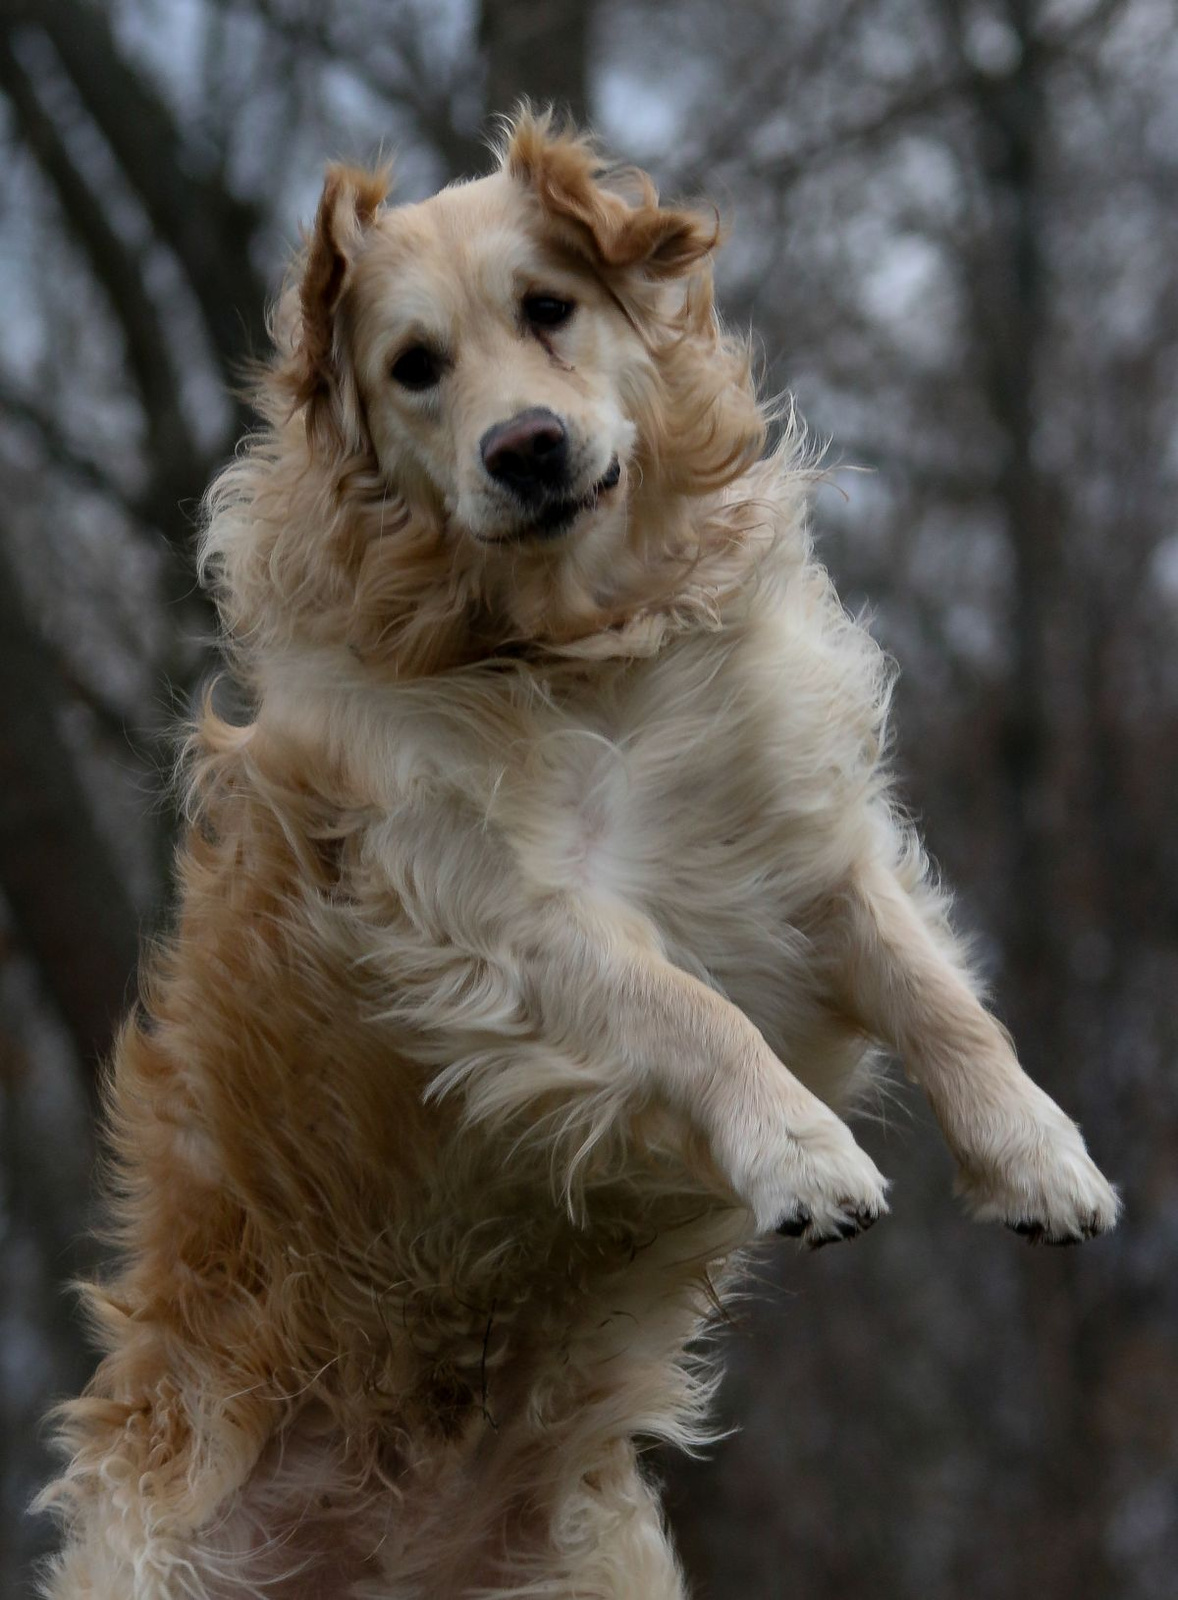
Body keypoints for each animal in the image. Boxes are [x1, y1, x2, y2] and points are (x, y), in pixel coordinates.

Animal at [39, 112, 1120, 1600]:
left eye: (547, 308)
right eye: (413, 367)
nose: (526, 448)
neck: (579, 648)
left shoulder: (796, 846)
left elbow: (936, 994)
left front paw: (1036, 1154)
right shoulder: (495, 920)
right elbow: (690, 1010)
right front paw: (799, 1148)